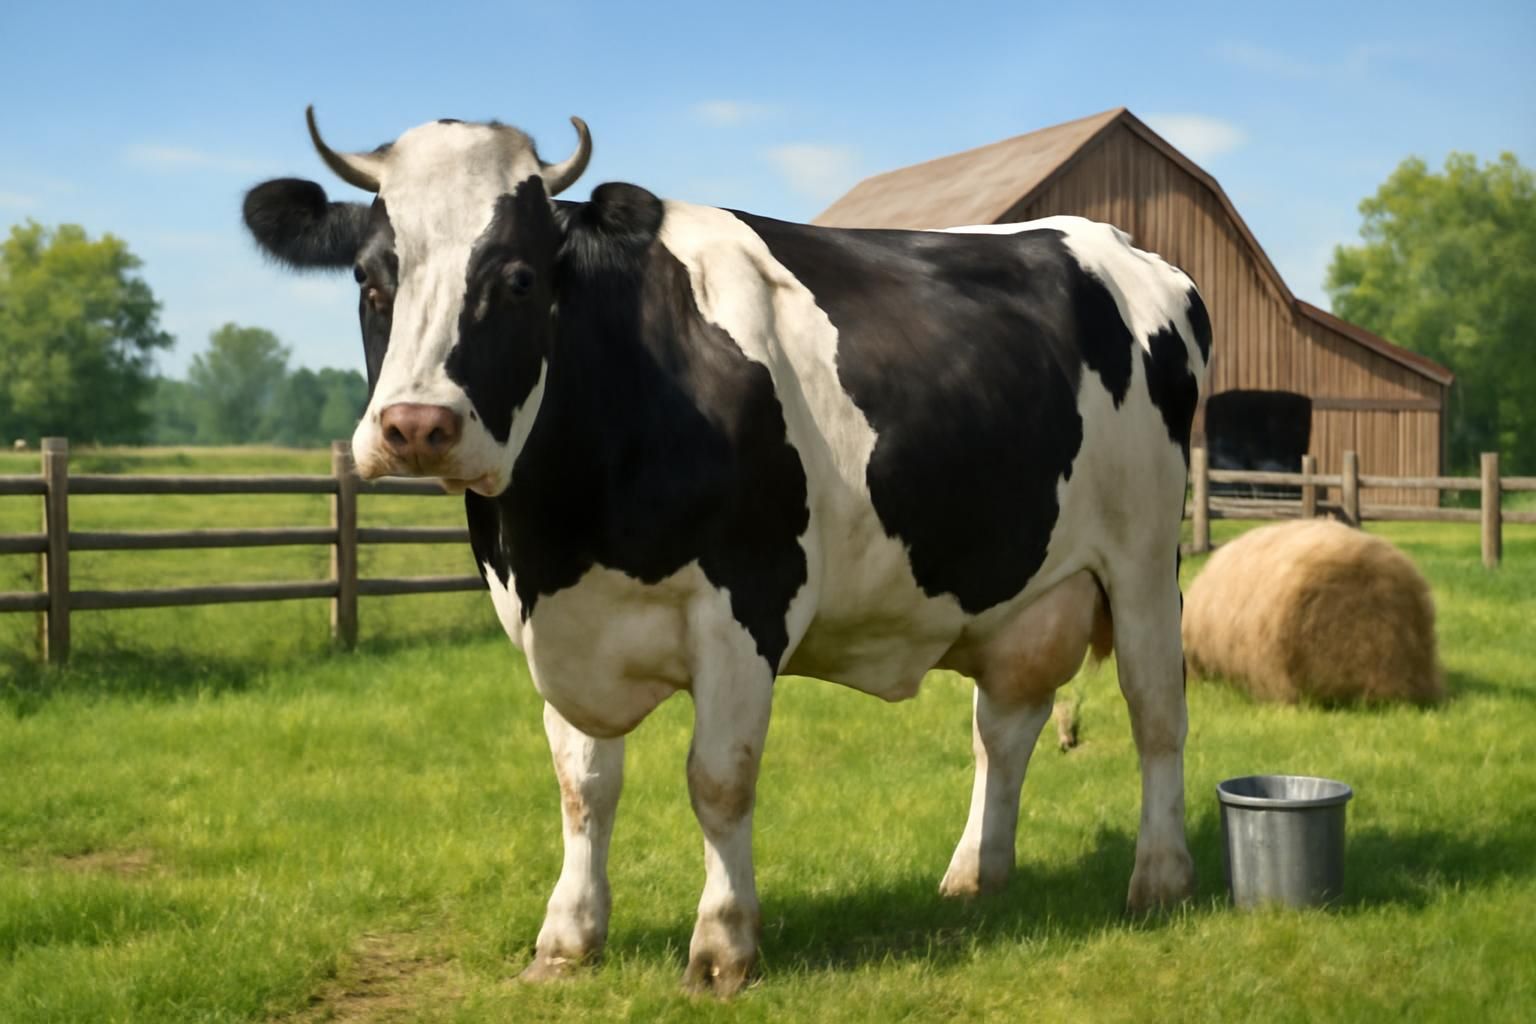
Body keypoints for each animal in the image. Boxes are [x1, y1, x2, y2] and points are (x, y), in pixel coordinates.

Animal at [243, 109, 1211, 996]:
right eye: (370, 277)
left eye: (517, 278)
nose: (416, 427)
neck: (559, 527)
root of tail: (1123, 246)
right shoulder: (548, 624)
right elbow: (582, 783)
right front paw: (567, 940)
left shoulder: (746, 601)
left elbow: (718, 779)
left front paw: (722, 949)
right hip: (1019, 592)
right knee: (1002, 729)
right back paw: (976, 876)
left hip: (1144, 559)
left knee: (1156, 710)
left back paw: (1161, 879)